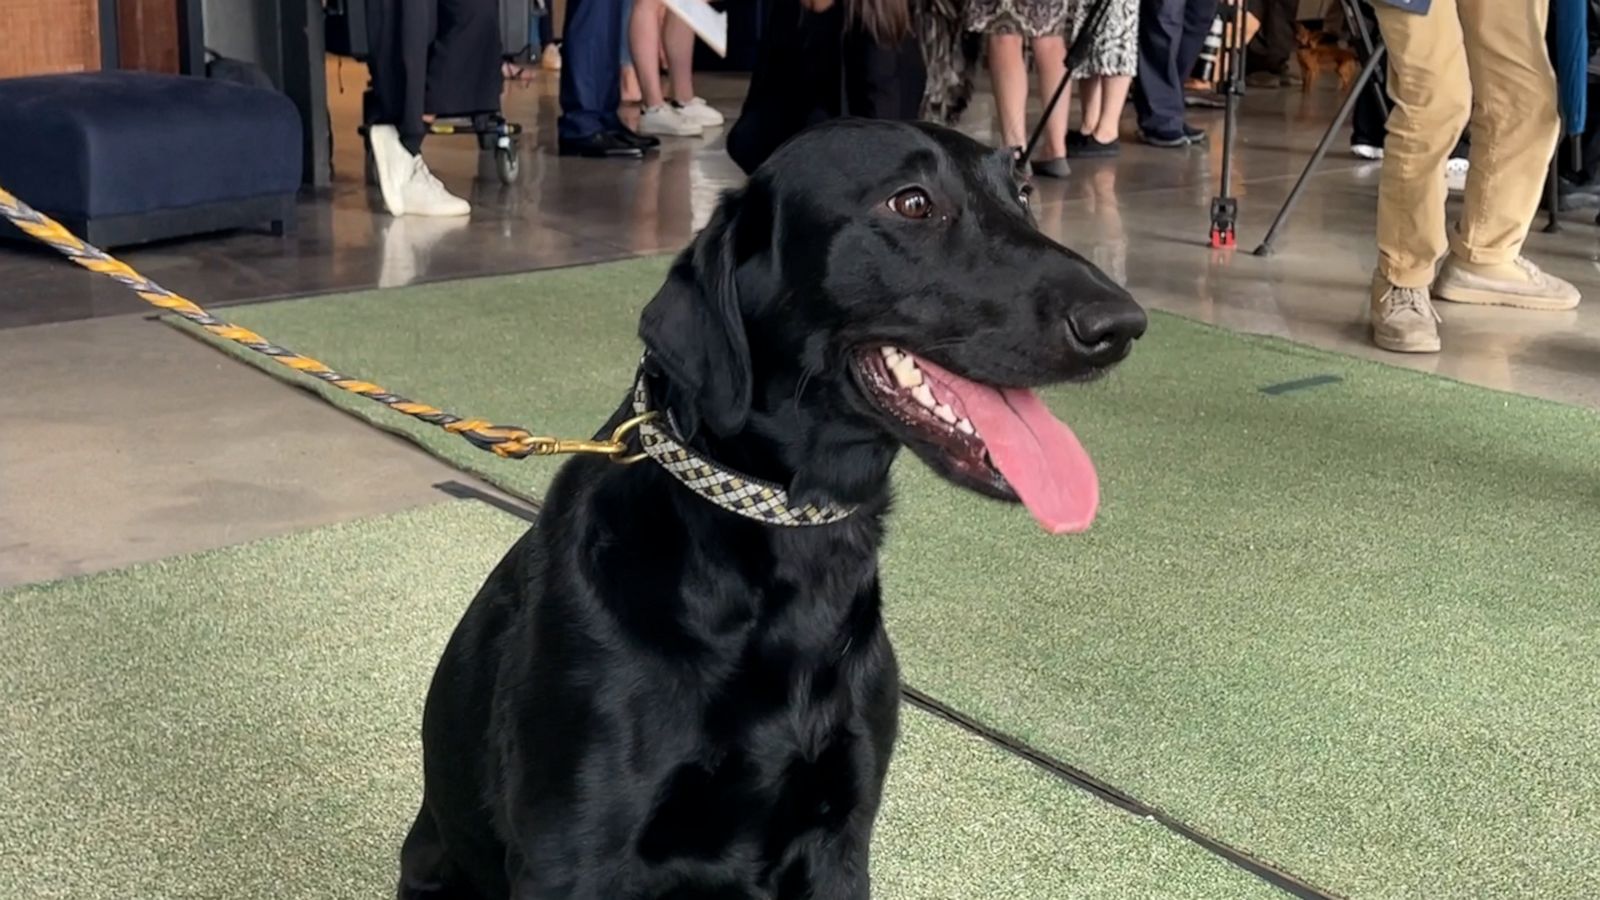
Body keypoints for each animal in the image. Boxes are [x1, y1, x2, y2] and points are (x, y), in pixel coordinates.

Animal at [400, 119, 1152, 896]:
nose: (1123, 325)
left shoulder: (839, 838)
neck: (793, 540)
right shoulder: (574, 854)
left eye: (1023, 192)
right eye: (912, 203)